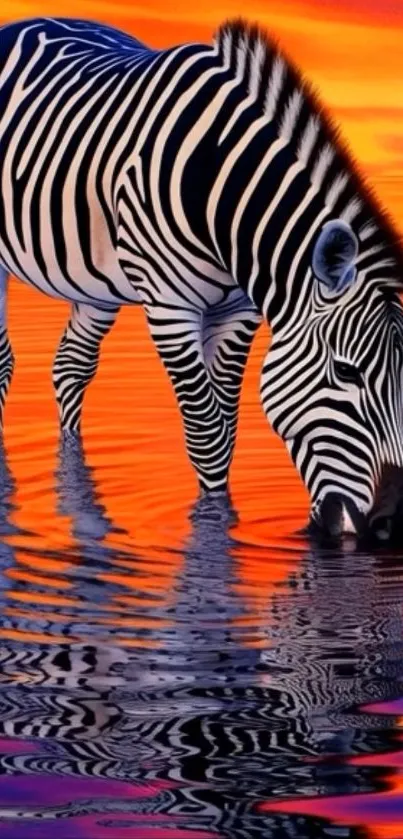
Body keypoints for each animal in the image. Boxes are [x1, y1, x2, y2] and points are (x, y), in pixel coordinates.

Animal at [1, 17, 403, 536]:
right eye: (347, 371)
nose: (391, 524)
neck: (220, 188)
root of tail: (27, 21)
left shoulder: (238, 310)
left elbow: (226, 428)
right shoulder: (170, 308)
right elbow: (207, 434)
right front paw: (214, 525)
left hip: (95, 282)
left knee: (72, 366)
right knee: (6, 361)